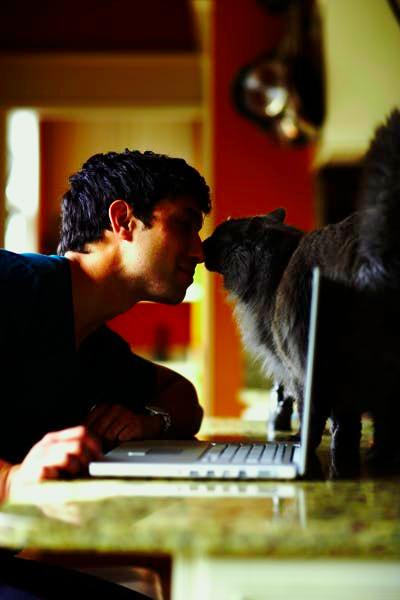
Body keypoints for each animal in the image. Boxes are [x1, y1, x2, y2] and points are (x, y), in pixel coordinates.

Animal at [205, 108, 400, 474]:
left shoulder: (294, 368)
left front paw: (304, 443)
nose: (203, 241)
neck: (276, 268)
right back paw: (378, 459)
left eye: (222, 234)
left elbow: (312, 410)